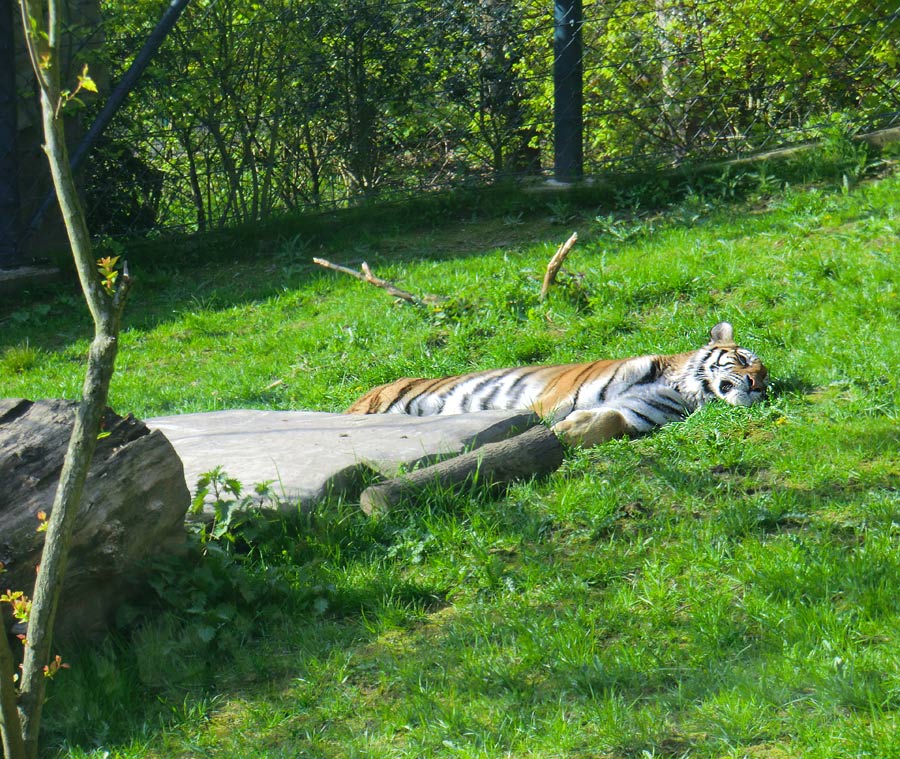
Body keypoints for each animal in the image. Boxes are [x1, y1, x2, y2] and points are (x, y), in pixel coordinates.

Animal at [348, 324, 768, 448]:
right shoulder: (551, 399)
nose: (756, 385)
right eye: (744, 359)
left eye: (767, 380)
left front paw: (568, 432)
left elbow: (608, 420)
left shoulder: (635, 413)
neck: (683, 388)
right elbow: (533, 422)